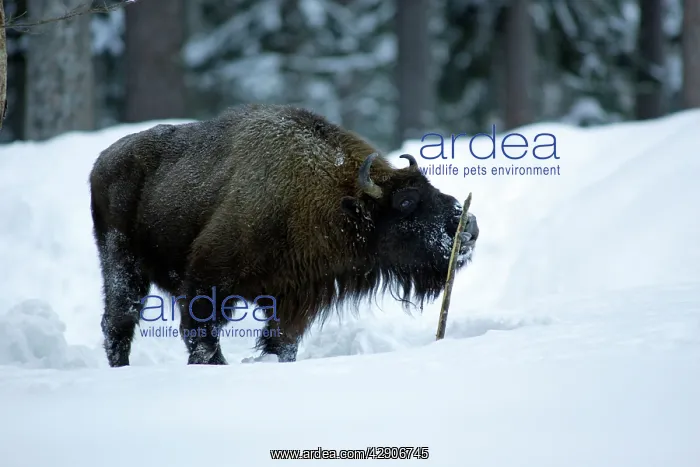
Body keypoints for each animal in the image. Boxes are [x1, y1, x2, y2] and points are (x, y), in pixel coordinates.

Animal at [89, 103, 479, 366]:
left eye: (428, 187)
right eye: (407, 201)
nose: (469, 227)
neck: (334, 198)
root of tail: (102, 161)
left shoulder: (295, 300)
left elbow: (282, 344)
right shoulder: (207, 281)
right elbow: (201, 335)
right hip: (121, 263)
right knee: (118, 320)